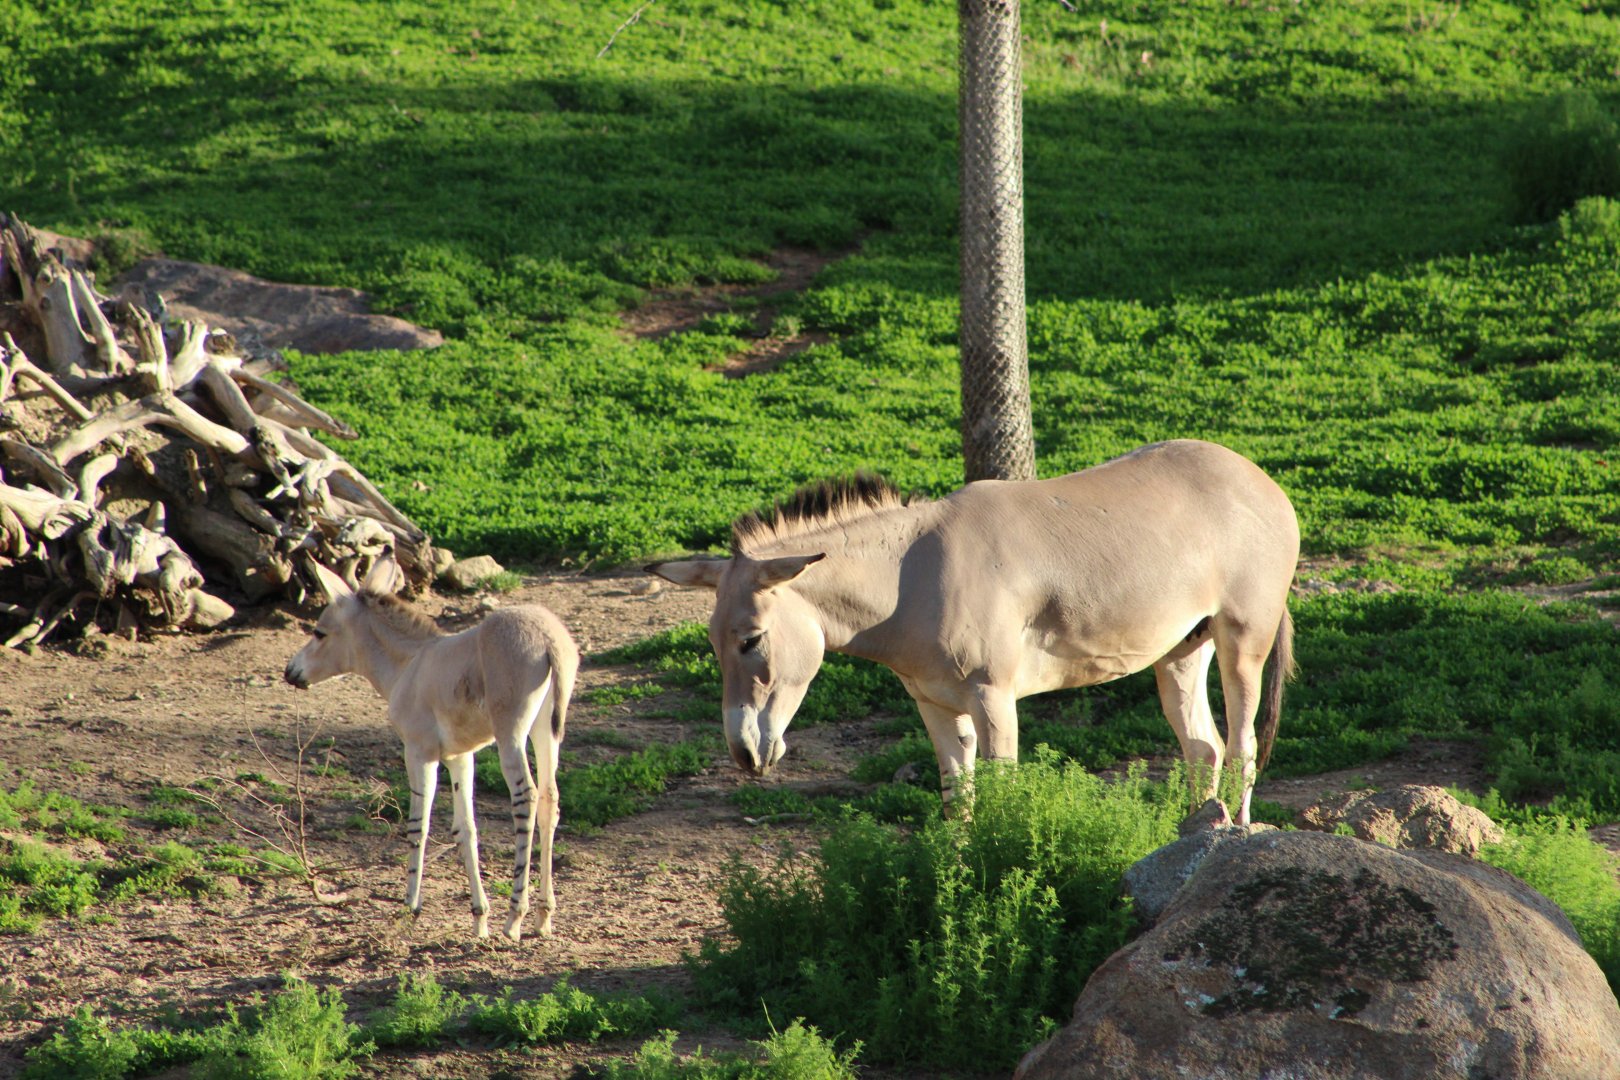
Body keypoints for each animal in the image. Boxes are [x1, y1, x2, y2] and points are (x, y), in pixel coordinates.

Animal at [284, 558, 578, 940]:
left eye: (319, 633)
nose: (291, 672)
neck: (410, 663)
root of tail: (546, 638)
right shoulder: (459, 758)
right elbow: (466, 829)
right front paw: (479, 918)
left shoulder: (419, 753)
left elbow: (417, 825)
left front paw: (411, 905)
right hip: (546, 732)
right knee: (549, 799)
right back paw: (543, 917)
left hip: (511, 734)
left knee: (525, 797)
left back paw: (515, 917)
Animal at [648, 440, 1298, 825]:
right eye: (712, 646)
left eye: (752, 640)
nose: (745, 756)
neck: (912, 576)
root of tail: (1255, 476)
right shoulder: (935, 705)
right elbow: (957, 802)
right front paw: (957, 886)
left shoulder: (994, 699)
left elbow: (1001, 792)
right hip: (1182, 650)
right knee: (1202, 747)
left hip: (1242, 642)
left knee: (1241, 746)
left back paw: (1236, 836)